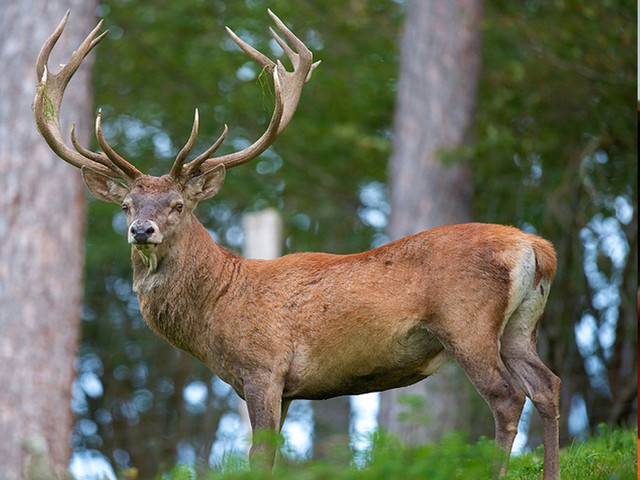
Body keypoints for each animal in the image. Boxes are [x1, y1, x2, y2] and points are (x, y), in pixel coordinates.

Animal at [34, 10, 561, 479]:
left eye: (178, 204)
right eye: (127, 206)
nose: (141, 230)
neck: (217, 306)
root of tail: (537, 248)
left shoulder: (263, 369)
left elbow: (259, 458)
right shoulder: (286, 389)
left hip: (467, 322)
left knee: (507, 397)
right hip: (520, 327)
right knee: (548, 385)